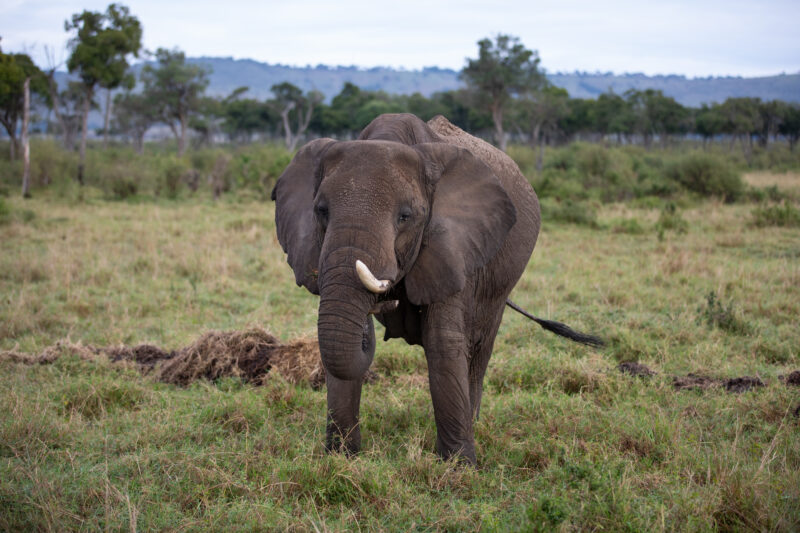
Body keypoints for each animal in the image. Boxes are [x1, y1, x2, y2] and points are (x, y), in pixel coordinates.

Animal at [272, 113, 601, 464]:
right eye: (321, 211)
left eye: (405, 217)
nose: (381, 303)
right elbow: (334, 342)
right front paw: (340, 458)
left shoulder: (455, 246)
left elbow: (443, 342)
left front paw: (458, 467)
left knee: (479, 347)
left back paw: (473, 423)